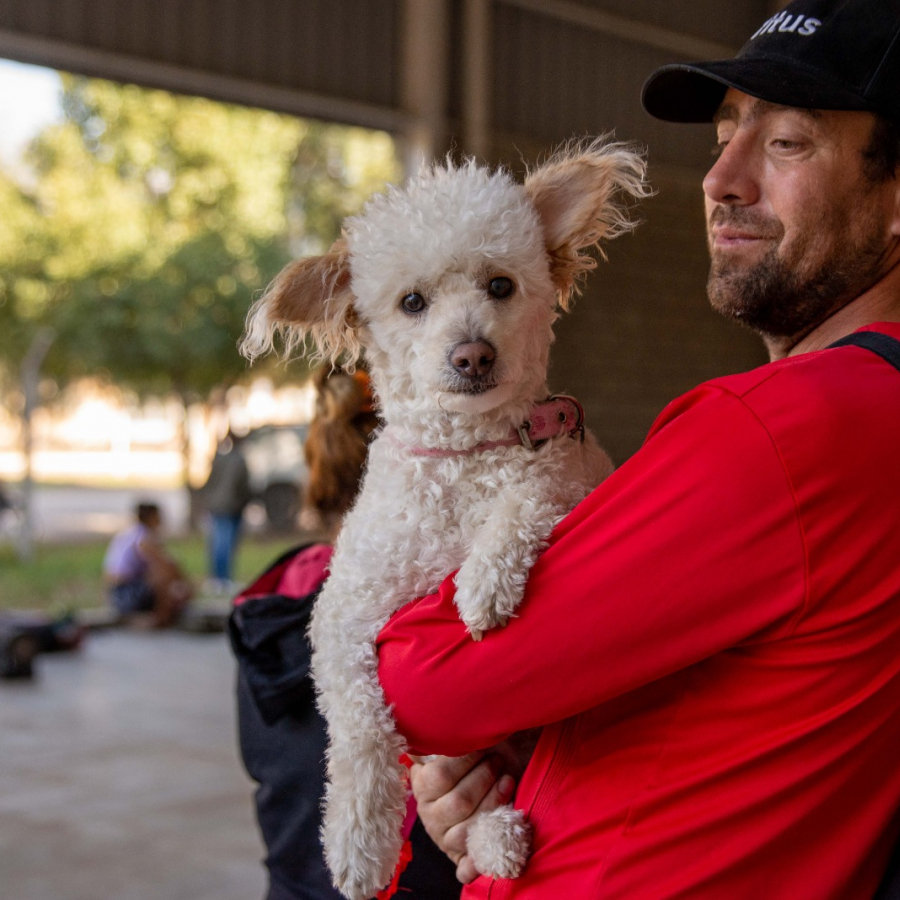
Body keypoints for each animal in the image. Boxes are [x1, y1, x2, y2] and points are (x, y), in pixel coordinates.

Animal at [239, 141, 648, 900]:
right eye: (412, 302)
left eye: (500, 286)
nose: (473, 353)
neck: (462, 458)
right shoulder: (343, 615)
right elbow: (360, 728)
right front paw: (360, 844)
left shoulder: (565, 473)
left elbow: (528, 496)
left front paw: (485, 583)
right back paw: (492, 836)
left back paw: (497, 839)